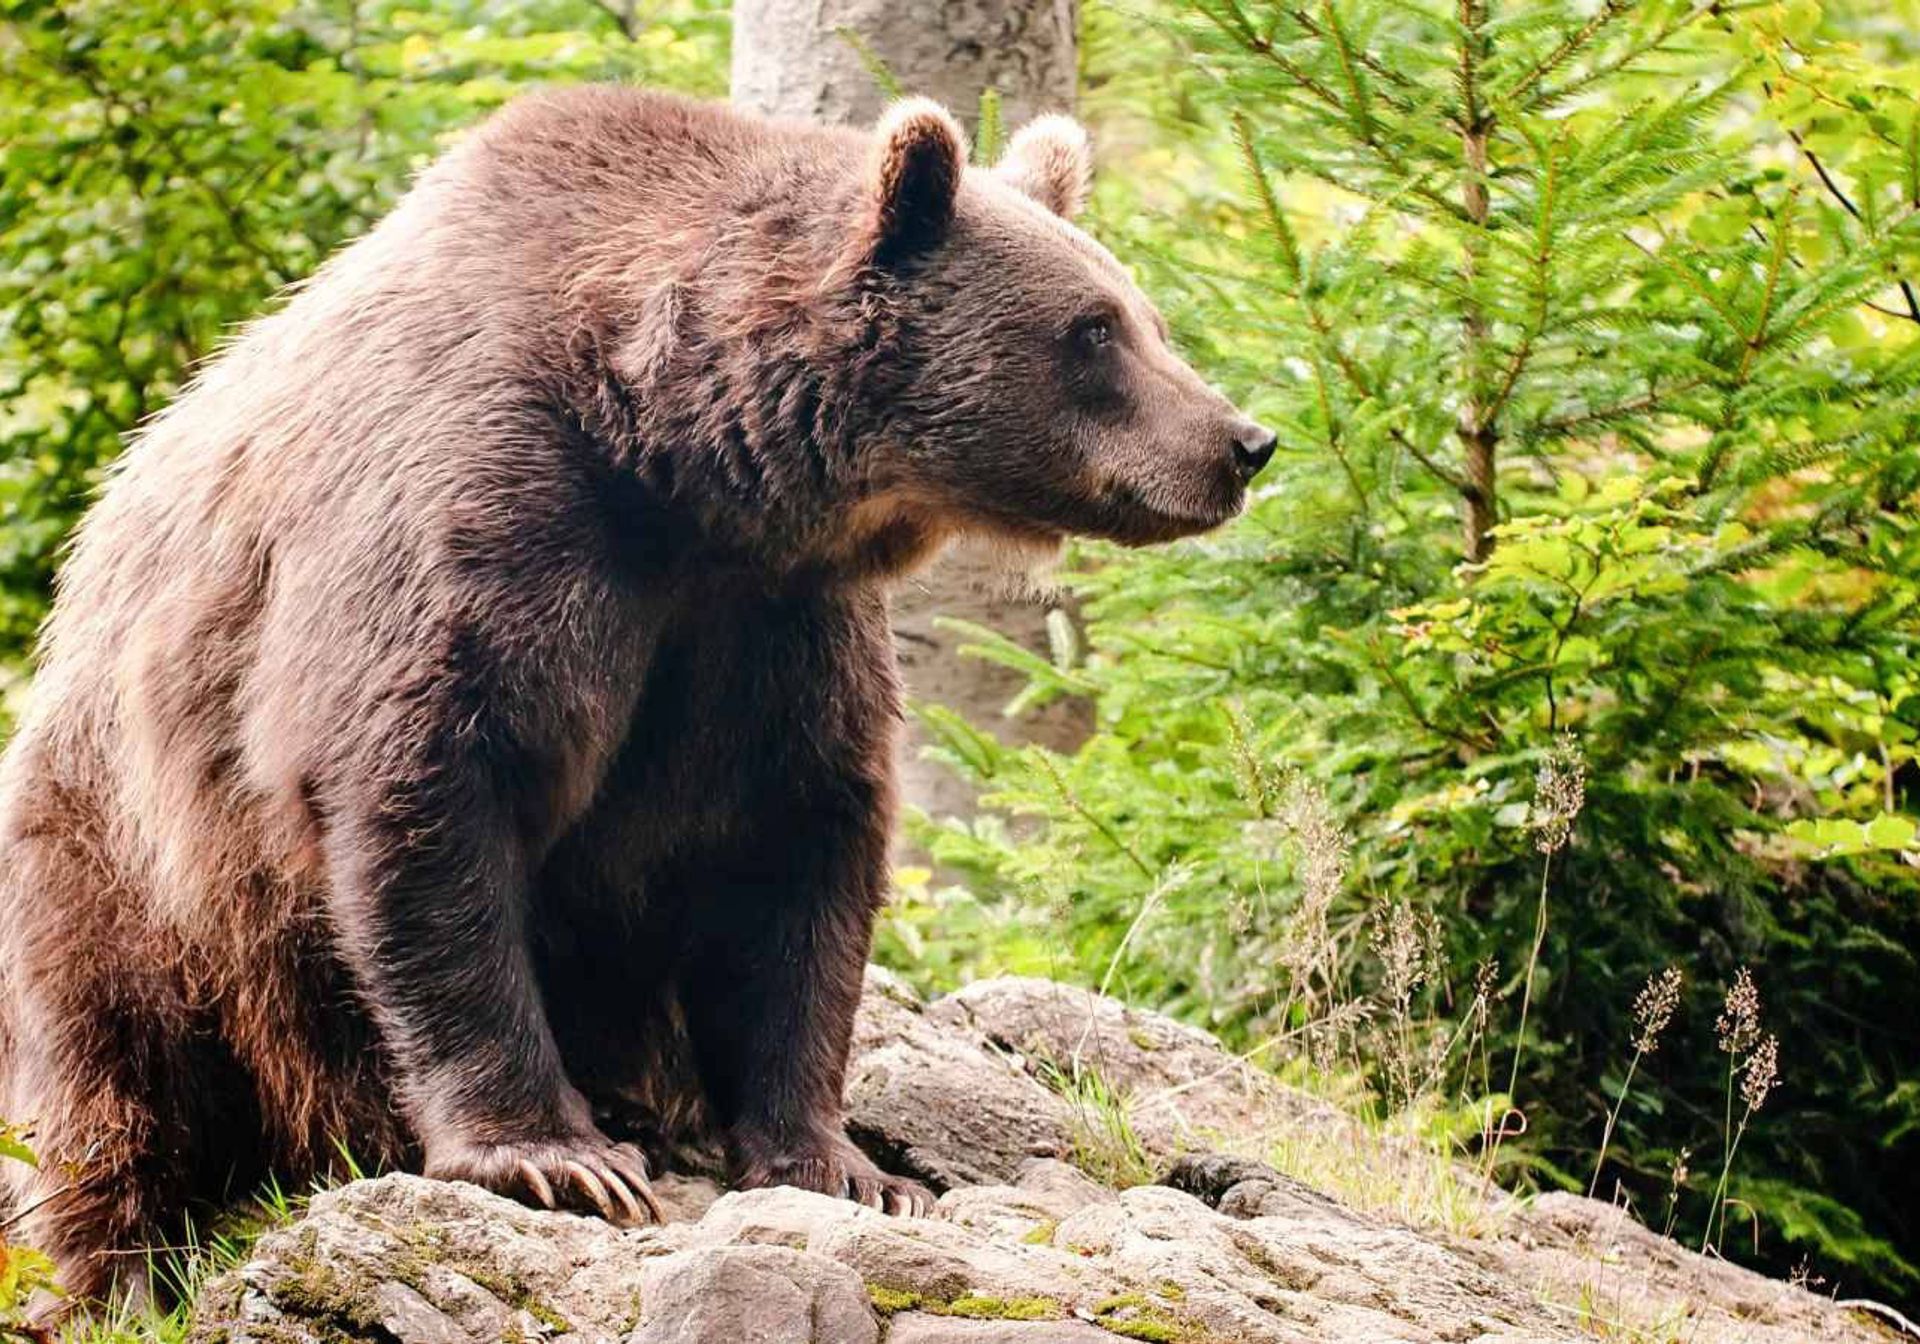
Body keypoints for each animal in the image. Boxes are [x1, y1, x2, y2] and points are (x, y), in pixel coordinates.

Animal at [0, 85, 1274, 1309]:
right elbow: (430, 793)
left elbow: (795, 858)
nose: (1243, 440)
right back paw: (124, 1270)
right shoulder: (490, 524)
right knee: (117, 1079)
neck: (679, 464)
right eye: (1093, 329)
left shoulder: (770, 629)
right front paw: (554, 1156)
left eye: (1146, 315)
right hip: (123, 859)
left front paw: (840, 1162)